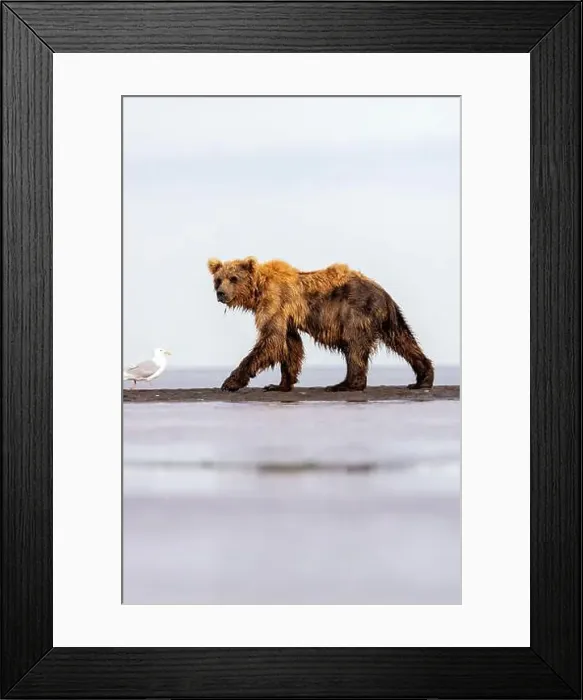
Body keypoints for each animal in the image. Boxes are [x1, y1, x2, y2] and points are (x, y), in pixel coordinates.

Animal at [207, 256, 434, 393]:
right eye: (218, 279)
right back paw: (423, 378)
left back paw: (345, 384)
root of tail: (383, 292)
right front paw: (280, 384)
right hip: (388, 318)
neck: (258, 290)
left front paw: (230, 382)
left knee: (354, 347)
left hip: (355, 312)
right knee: (403, 339)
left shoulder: (275, 303)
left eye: (233, 278)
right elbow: (290, 344)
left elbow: (271, 340)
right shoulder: (287, 315)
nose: (221, 293)